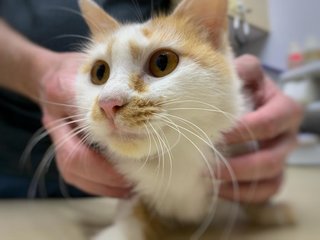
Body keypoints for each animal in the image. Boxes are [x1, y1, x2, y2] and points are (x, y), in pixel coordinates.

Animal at [72, 0, 292, 240]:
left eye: (162, 62)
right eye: (99, 72)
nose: (108, 103)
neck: (176, 158)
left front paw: (270, 211)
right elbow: (133, 212)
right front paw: (118, 232)